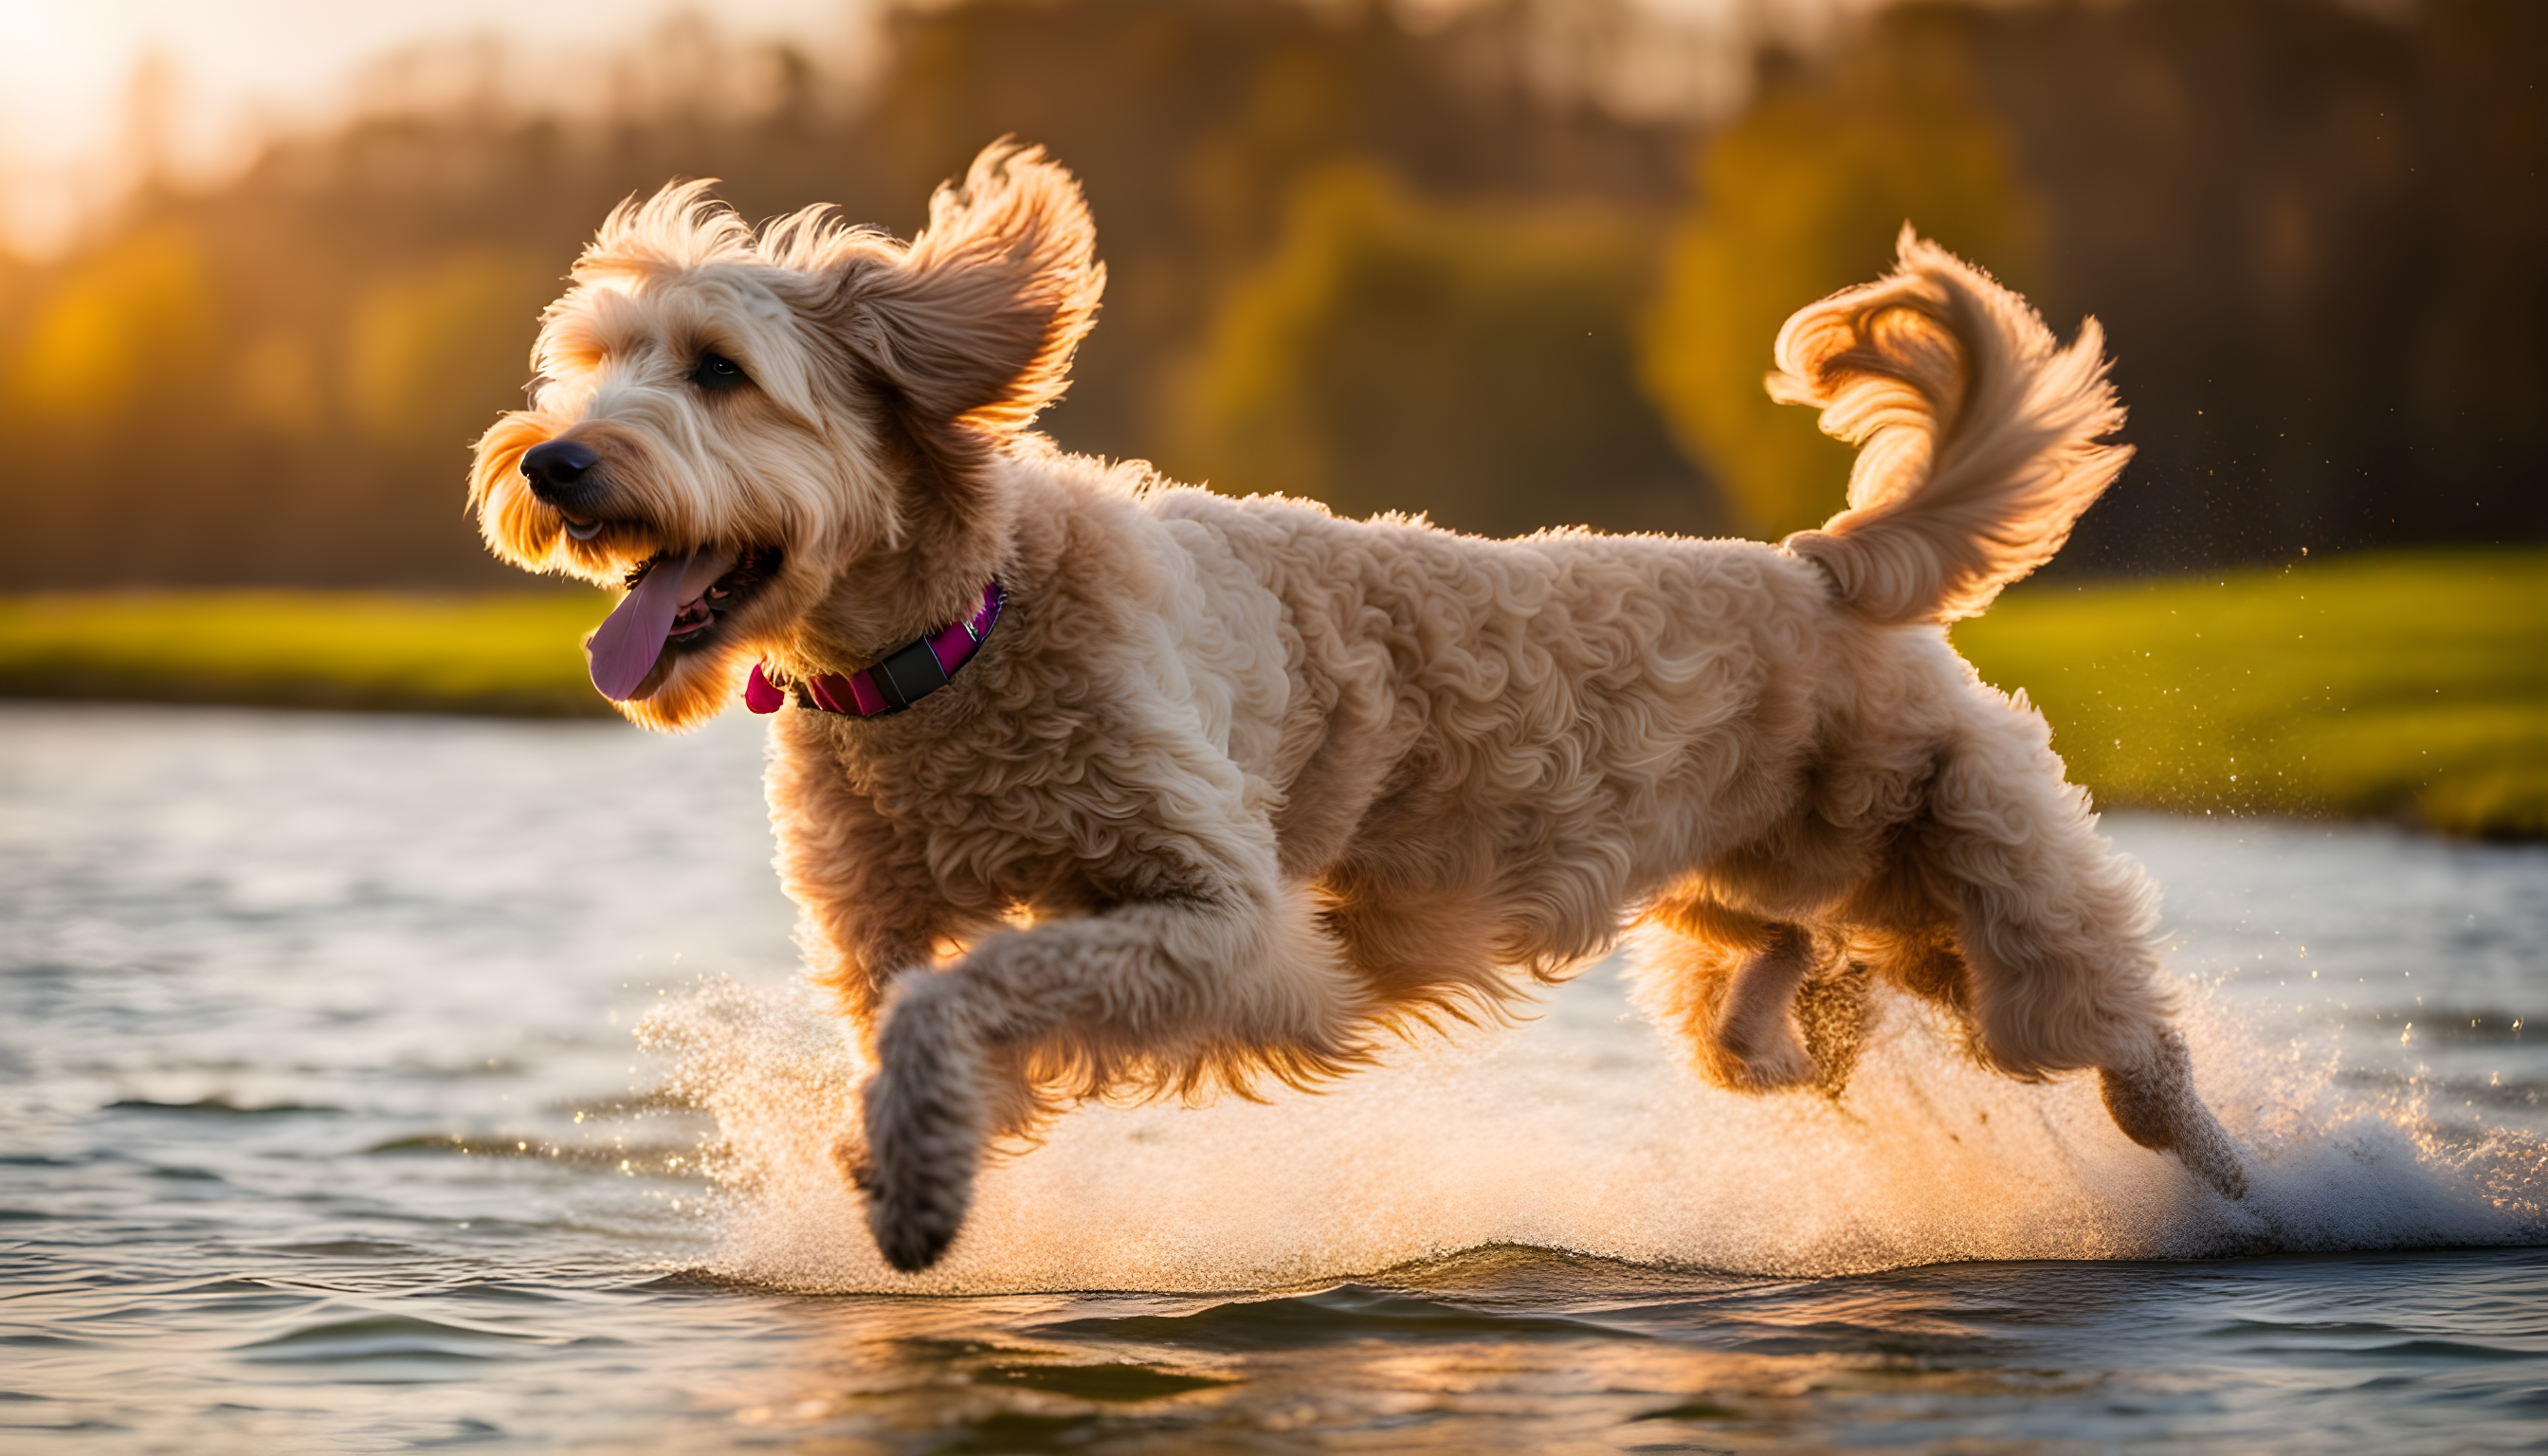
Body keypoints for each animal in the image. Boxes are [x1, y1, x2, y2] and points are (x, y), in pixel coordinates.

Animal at [464, 141, 2252, 1269]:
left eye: (716, 371)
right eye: (591, 363)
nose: (551, 462)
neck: (952, 650)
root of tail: (1825, 570)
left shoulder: (1230, 926)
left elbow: (975, 996)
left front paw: (912, 1180)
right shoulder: (884, 926)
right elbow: (929, 1020)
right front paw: (909, 1163)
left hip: (1998, 924)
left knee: (2133, 1053)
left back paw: (2254, 1195)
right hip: (1769, 919)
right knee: (1785, 996)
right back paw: (1806, 1028)